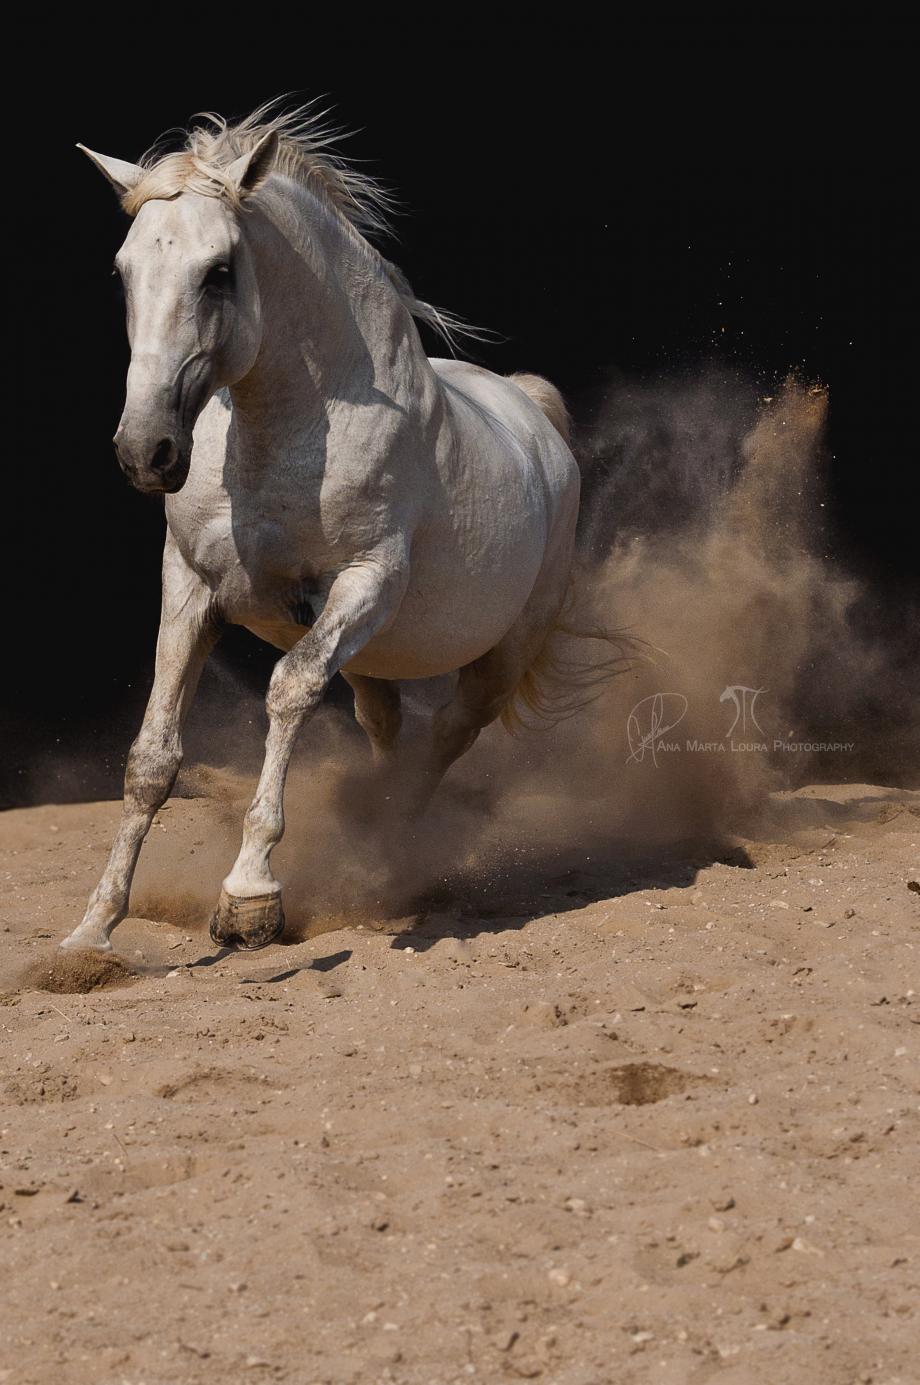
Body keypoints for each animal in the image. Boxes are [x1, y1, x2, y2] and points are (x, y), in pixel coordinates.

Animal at [63, 102, 581, 953]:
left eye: (219, 271)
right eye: (122, 270)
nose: (146, 451)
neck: (282, 438)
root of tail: (535, 414)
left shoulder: (365, 583)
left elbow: (290, 688)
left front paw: (249, 898)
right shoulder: (190, 584)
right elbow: (152, 757)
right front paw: (92, 930)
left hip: (495, 659)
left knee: (443, 739)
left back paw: (389, 856)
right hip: (375, 660)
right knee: (387, 728)